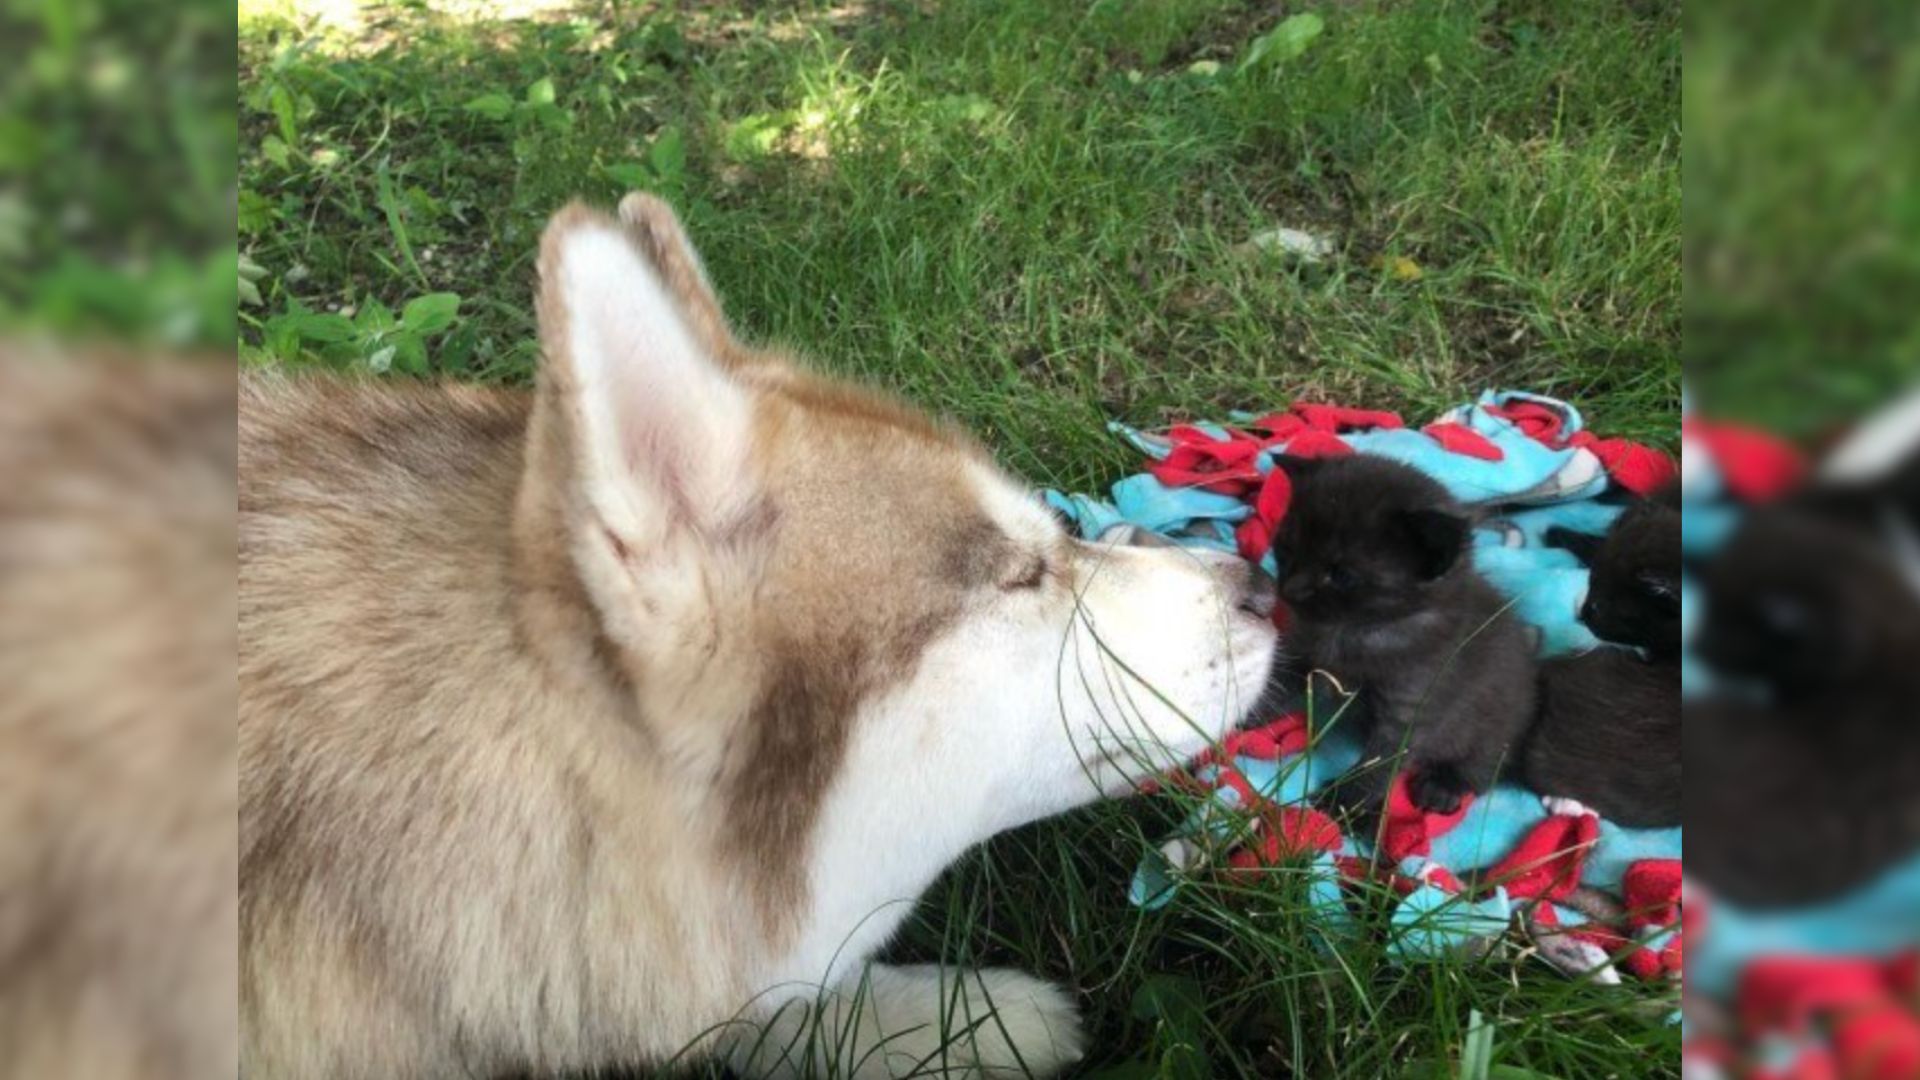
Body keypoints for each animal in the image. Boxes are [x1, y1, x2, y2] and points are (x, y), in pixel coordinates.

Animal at [1274, 453, 1543, 814]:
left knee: (1486, 764)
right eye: (1287, 547)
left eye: (1342, 575)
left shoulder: (1411, 709)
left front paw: (1344, 801)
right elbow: (1271, 688)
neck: (1355, 632)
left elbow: (1378, 763)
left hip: (1498, 724)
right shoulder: (1304, 661)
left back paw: (1444, 786)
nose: (1289, 589)